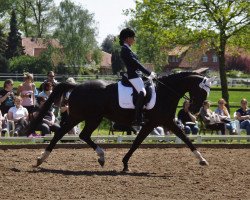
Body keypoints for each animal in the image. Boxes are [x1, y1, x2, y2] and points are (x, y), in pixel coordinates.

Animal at [27, 71, 213, 171]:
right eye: (202, 91)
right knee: (66, 133)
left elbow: (138, 142)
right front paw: (202, 159)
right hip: (84, 117)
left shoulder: (158, 123)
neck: (165, 93)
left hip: (87, 117)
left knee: (78, 135)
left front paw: (125, 163)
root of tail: (78, 86)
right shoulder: (161, 122)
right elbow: (185, 138)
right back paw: (41, 159)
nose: (195, 111)